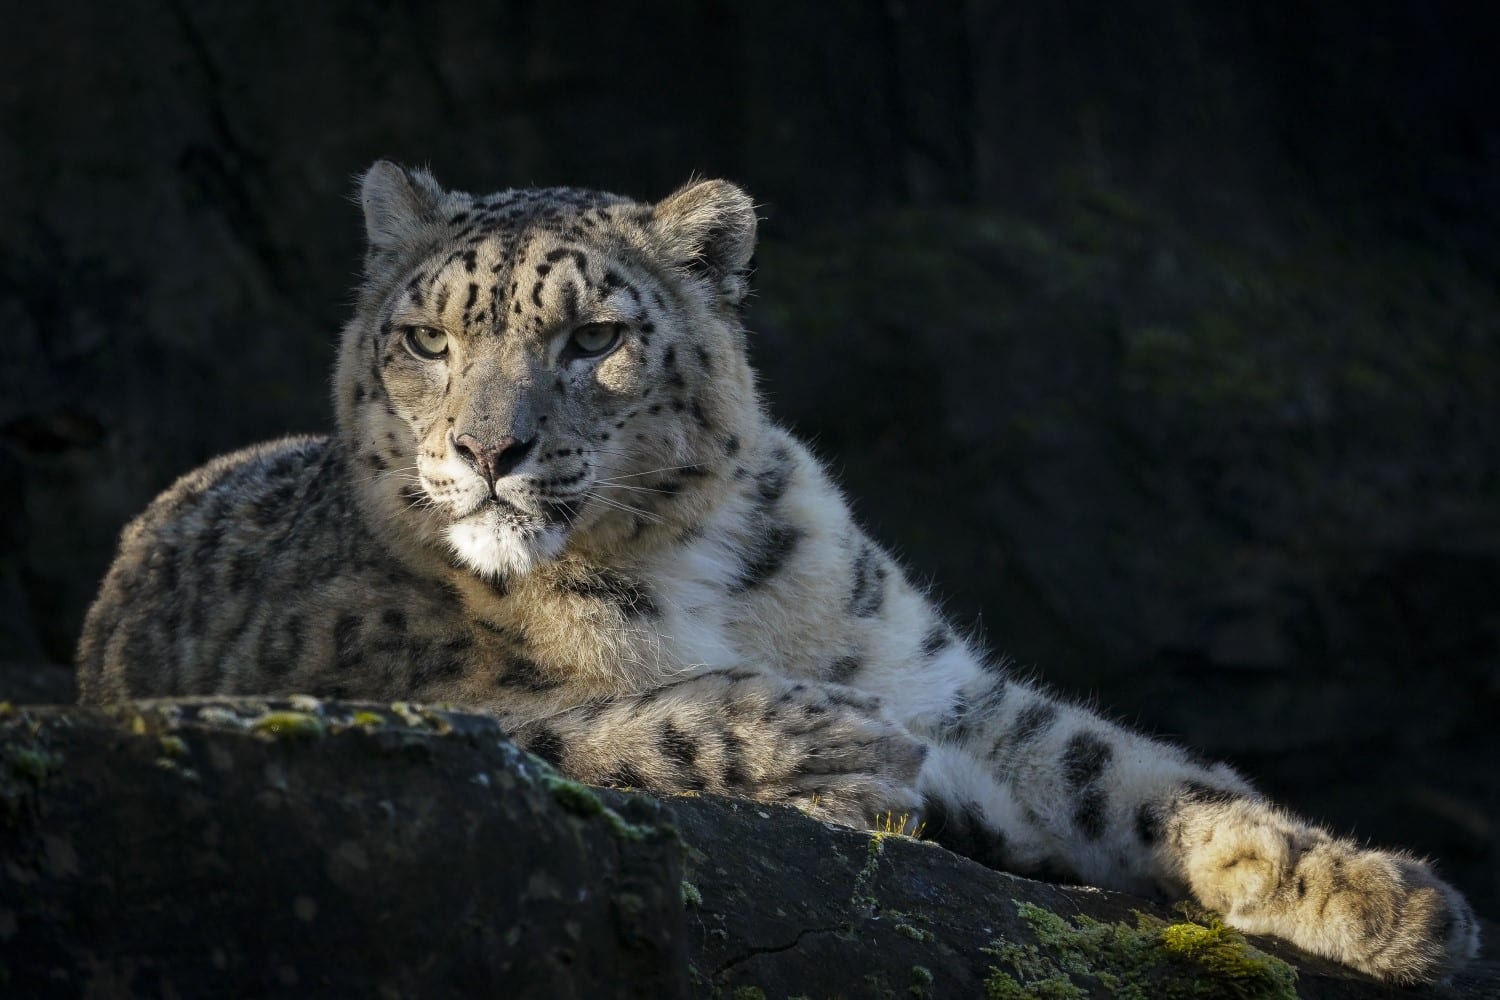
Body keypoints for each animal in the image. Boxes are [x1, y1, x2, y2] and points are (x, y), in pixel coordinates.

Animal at [76, 160, 1470, 983]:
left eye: (593, 336)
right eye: (426, 339)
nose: (487, 450)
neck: (687, 571)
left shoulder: (936, 681)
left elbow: (1125, 767)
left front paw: (1386, 897)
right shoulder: (402, 701)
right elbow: (594, 721)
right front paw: (830, 743)